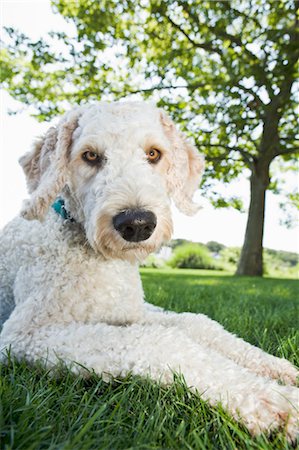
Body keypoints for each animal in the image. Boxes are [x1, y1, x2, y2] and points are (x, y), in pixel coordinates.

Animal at [0, 101, 298, 440]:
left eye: (154, 153)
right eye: (90, 155)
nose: (137, 223)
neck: (104, 262)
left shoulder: (133, 311)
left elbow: (195, 322)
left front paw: (276, 367)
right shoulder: (26, 334)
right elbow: (159, 339)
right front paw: (274, 400)